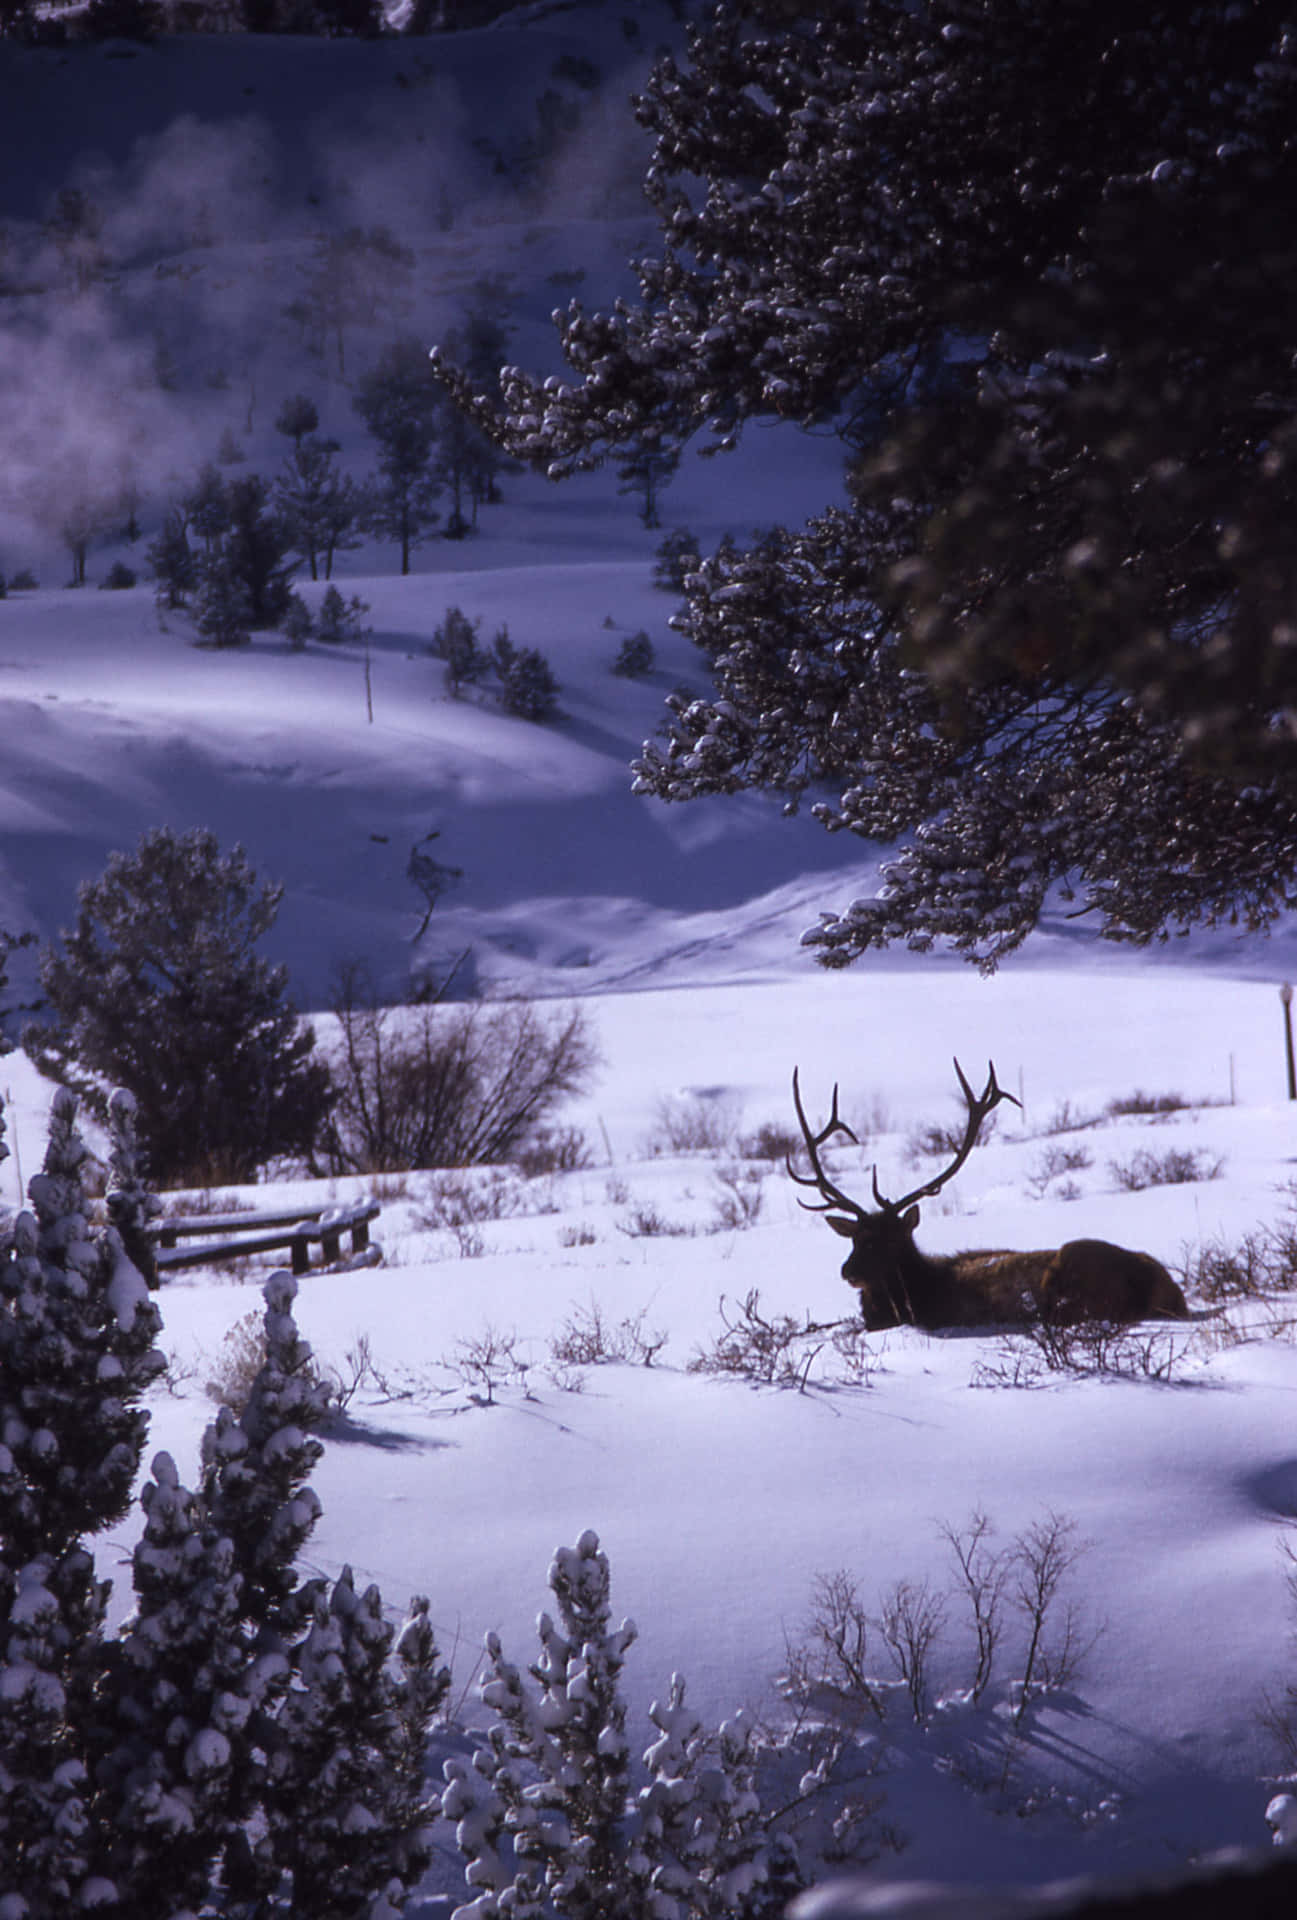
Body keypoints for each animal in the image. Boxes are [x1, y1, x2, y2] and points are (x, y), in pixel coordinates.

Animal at [789, 1062, 1190, 1331]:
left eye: (890, 1239)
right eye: (854, 1239)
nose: (848, 1271)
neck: (920, 1292)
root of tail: (1165, 1288)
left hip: (1074, 1264)